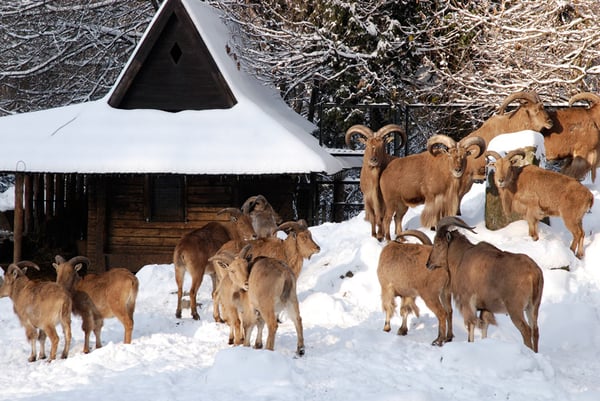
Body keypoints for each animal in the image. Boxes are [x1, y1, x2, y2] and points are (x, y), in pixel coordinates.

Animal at [426, 216, 544, 350]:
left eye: (437, 243)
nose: (428, 263)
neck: (462, 257)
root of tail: (534, 273)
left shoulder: (468, 302)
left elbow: (471, 326)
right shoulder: (485, 308)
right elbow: (484, 327)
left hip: (515, 309)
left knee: (526, 331)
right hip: (533, 307)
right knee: (535, 330)